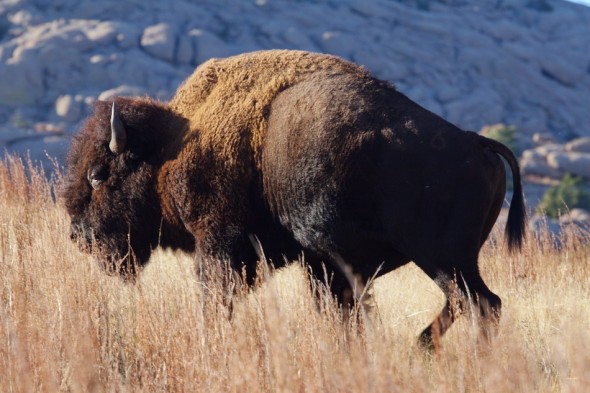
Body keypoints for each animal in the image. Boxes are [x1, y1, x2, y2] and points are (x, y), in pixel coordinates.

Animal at [65, 49, 528, 346]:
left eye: (98, 175)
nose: (77, 234)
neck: (173, 143)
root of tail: (475, 142)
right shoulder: (323, 264)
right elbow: (338, 311)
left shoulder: (219, 244)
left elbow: (216, 298)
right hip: (452, 261)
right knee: (471, 303)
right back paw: (421, 348)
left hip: (443, 258)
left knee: (481, 304)